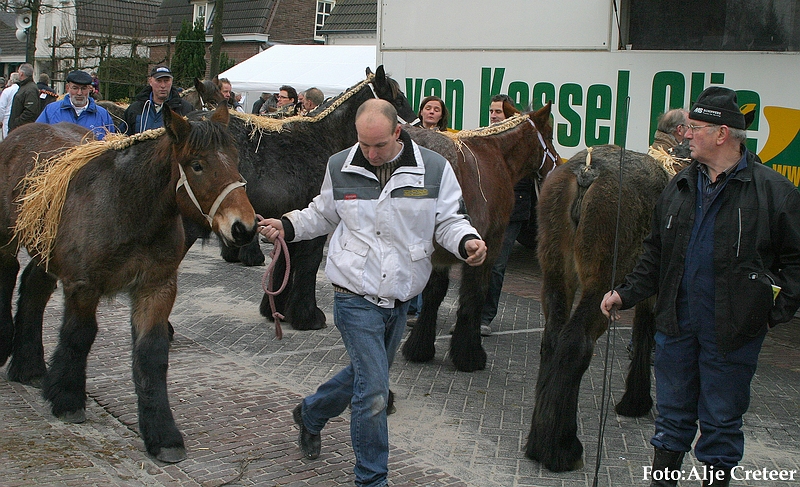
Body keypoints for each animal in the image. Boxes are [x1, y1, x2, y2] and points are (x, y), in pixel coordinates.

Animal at [0, 104, 255, 466]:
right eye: (197, 164)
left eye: (234, 160)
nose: (244, 227)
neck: (127, 205)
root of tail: (20, 134)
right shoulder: (83, 287)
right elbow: (79, 336)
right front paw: (67, 398)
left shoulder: (156, 289)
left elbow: (152, 354)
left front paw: (162, 434)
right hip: (6, 241)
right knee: (8, 275)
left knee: (33, 290)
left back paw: (29, 367)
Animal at [184, 65, 416, 332]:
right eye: (400, 100)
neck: (323, 139)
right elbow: (309, 263)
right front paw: (308, 316)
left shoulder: (289, 220)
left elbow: (286, 261)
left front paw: (276, 309)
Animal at [400, 107, 564, 372]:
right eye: (549, 135)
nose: (557, 165)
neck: (497, 155)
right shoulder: (489, 243)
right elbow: (475, 293)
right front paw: (470, 354)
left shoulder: (441, 252)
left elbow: (435, 292)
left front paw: (419, 347)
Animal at [528, 145, 680, 472]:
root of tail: (588, 173)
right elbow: (645, 334)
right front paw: (636, 400)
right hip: (602, 284)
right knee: (576, 342)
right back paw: (560, 447)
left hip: (557, 272)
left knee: (553, 338)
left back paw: (539, 438)